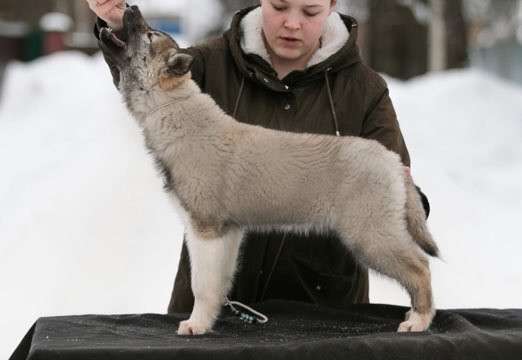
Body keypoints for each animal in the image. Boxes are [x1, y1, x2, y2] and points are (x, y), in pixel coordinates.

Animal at [99, 5, 436, 336]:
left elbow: (202, 285)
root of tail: (392, 161)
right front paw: (211, 319)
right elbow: (219, 283)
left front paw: (196, 324)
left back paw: (418, 320)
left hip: (370, 233)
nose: (130, 8)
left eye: (149, 35)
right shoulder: (227, 232)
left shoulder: (205, 229)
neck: (173, 108)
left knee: (420, 268)